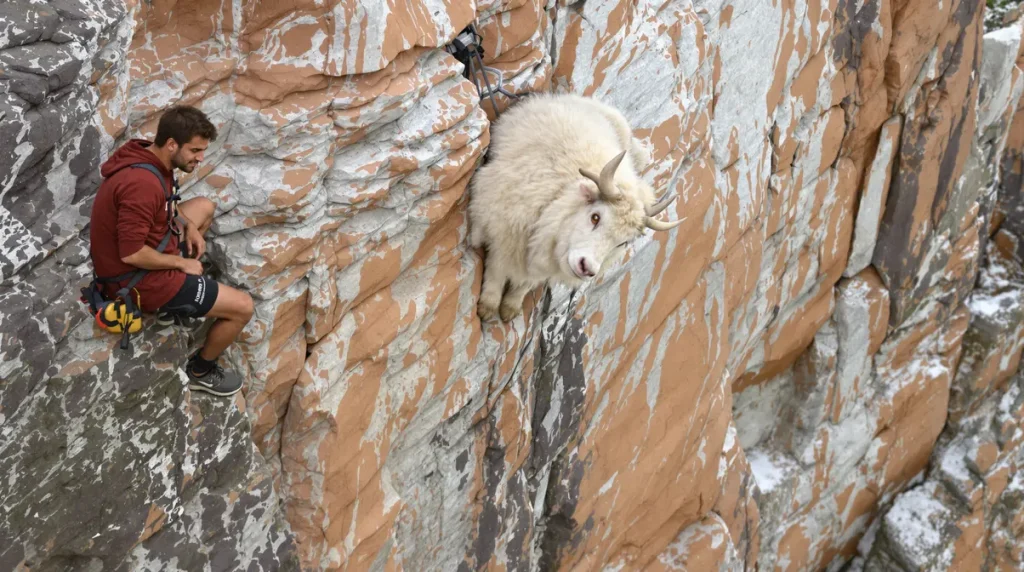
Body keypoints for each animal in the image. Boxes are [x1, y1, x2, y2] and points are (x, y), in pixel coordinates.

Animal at [467, 93, 682, 322]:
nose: (586, 268)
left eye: (622, 243)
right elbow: (497, 270)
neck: (560, 197)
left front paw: (510, 307)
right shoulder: (502, 233)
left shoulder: (542, 264)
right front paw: (487, 307)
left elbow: (526, 283)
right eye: (595, 217)